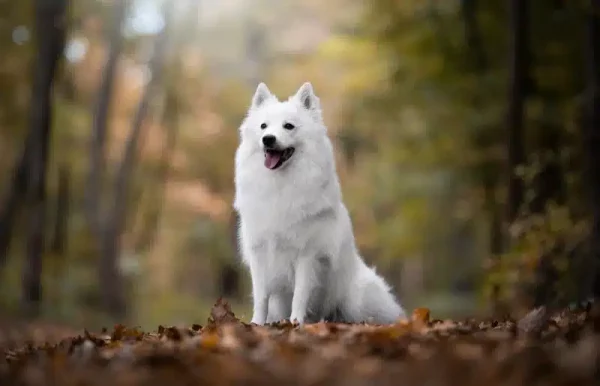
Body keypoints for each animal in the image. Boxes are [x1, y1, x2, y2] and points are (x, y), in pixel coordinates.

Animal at [232, 83, 406, 324]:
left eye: (289, 126)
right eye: (263, 126)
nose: (268, 139)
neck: (281, 186)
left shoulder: (307, 254)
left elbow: (299, 295)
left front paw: (295, 323)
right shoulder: (259, 252)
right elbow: (261, 297)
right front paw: (257, 324)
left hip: (356, 299)